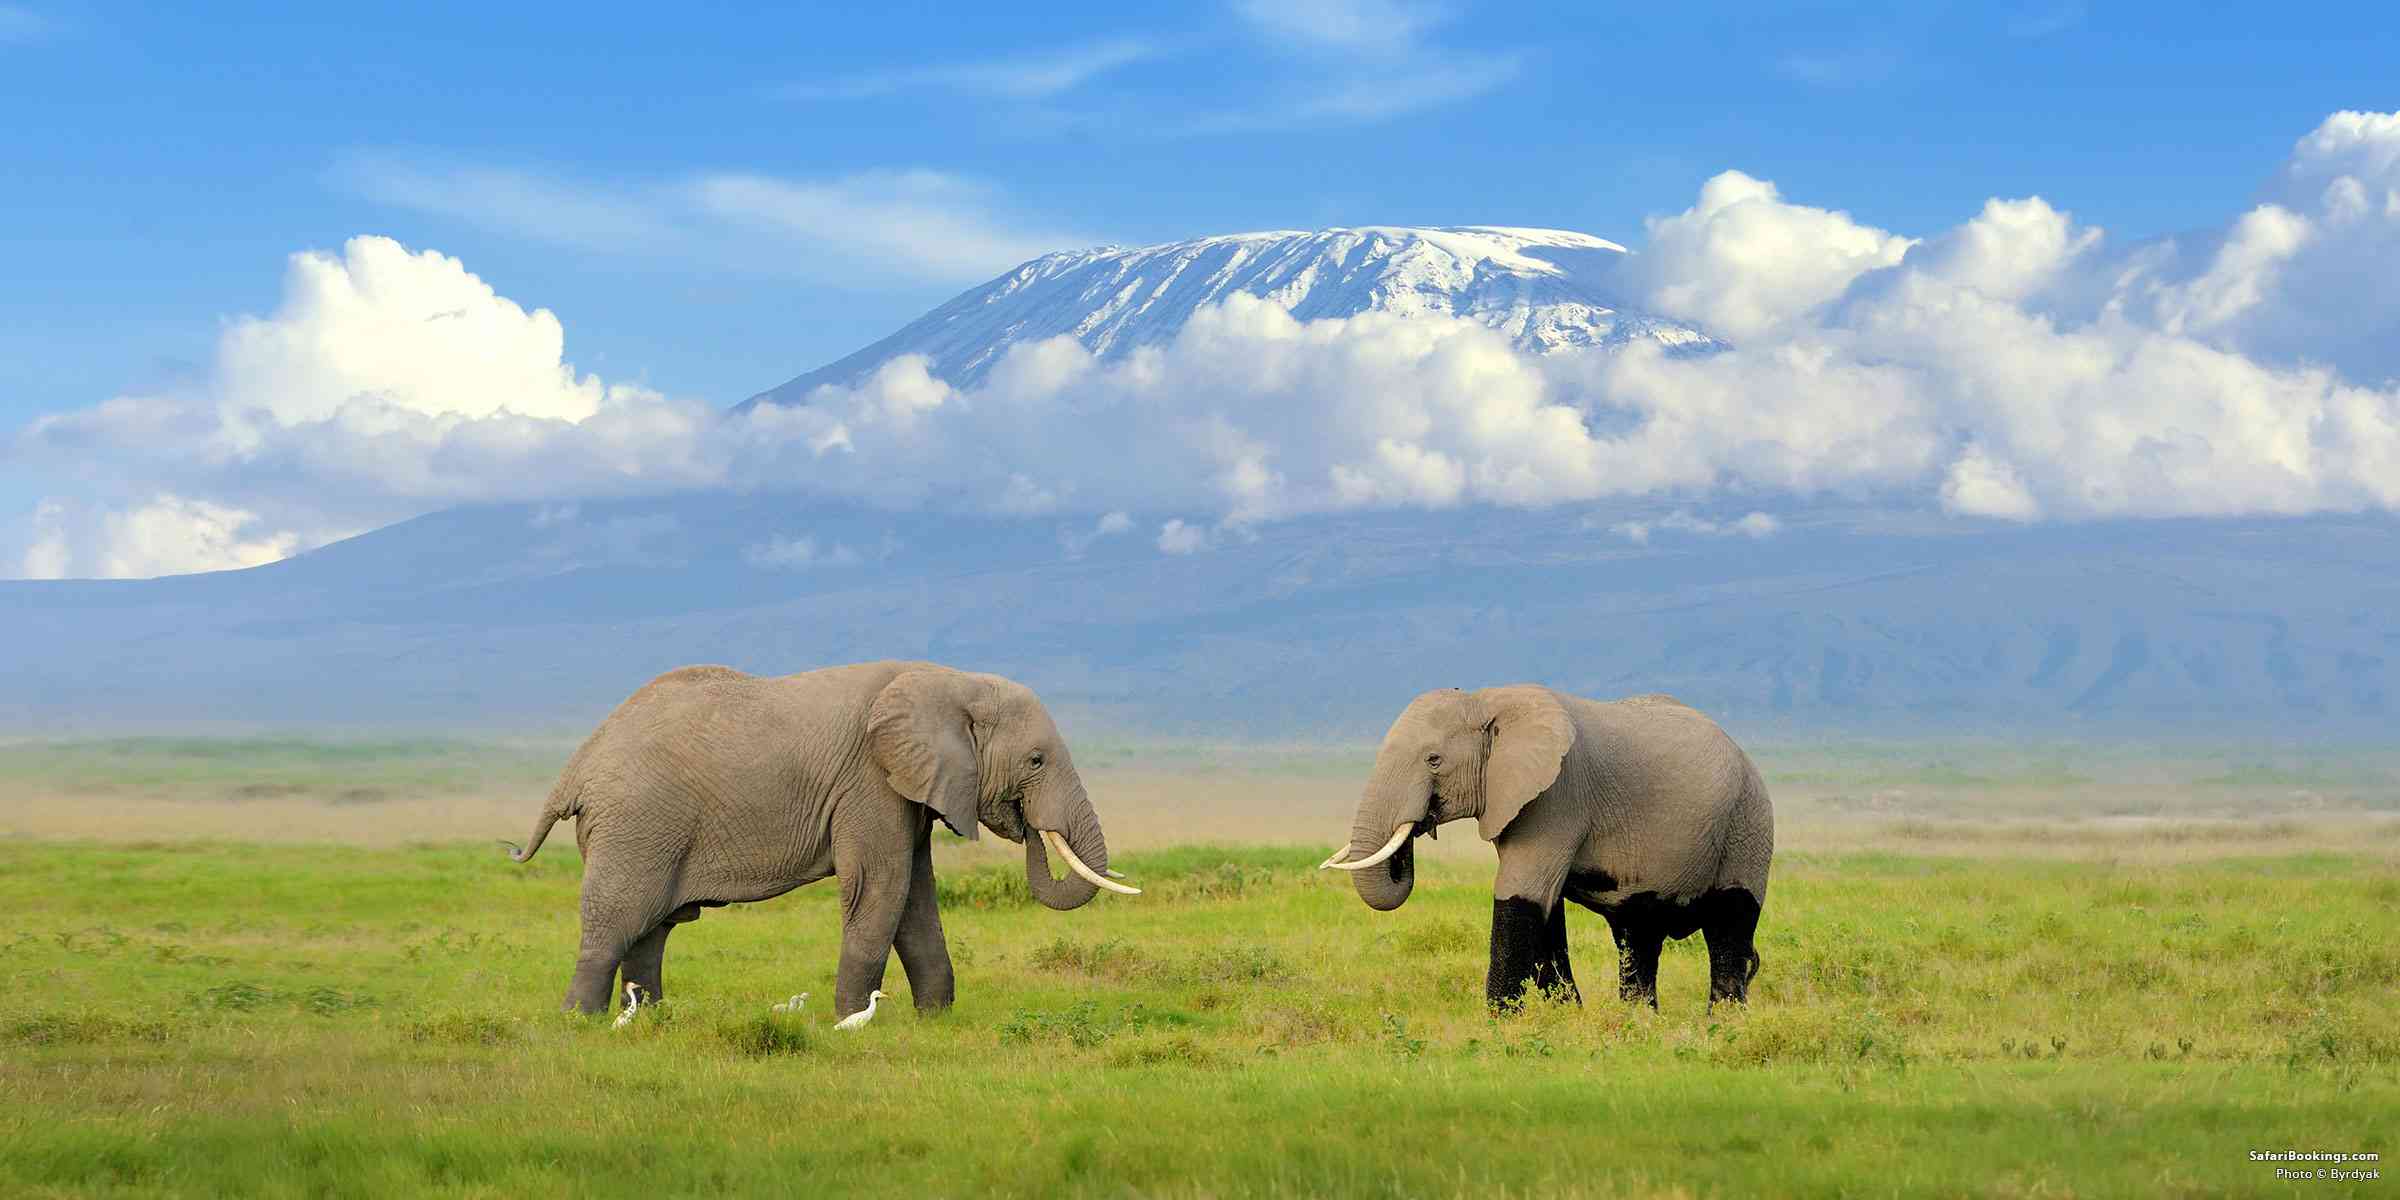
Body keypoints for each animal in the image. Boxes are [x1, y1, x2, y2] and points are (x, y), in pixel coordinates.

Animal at [501, 662, 1137, 1017]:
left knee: (652, 928)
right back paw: (579, 1022)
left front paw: (935, 1020)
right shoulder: (869, 782)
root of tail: (578, 764)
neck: (951, 679)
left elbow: (915, 896)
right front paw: (852, 1021)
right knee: (617, 921)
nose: (1026, 824)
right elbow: (880, 888)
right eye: (1036, 761)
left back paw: (654, 1019)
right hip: (636, 825)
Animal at [1324, 686, 1776, 1012]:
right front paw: (1566, 1015)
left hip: (1748, 823)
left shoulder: (1557, 797)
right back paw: (1639, 1021)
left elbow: (1522, 894)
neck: (1488, 700)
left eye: (1433, 760)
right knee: (1639, 936)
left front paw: (1502, 1023)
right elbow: (1545, 907)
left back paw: (1723, 1024)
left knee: (1730, 925)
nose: (1419, 825)